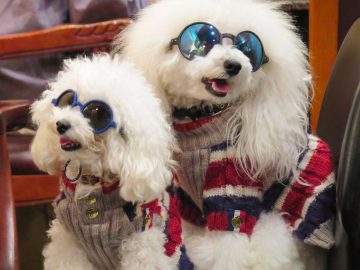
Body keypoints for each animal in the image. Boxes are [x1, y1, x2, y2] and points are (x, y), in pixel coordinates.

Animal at [30, 54, 191, 270]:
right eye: (67, 100)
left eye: (97, 113)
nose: (60, 124)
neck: (92, 181)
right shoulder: (67, 241)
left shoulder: (141, 243)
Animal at [116, 0, 338, 270]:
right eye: (202, 40)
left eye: (247, 48)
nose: (234, 65)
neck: (201, 122)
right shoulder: (188, 201)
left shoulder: (232, 187)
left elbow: (229, 246)